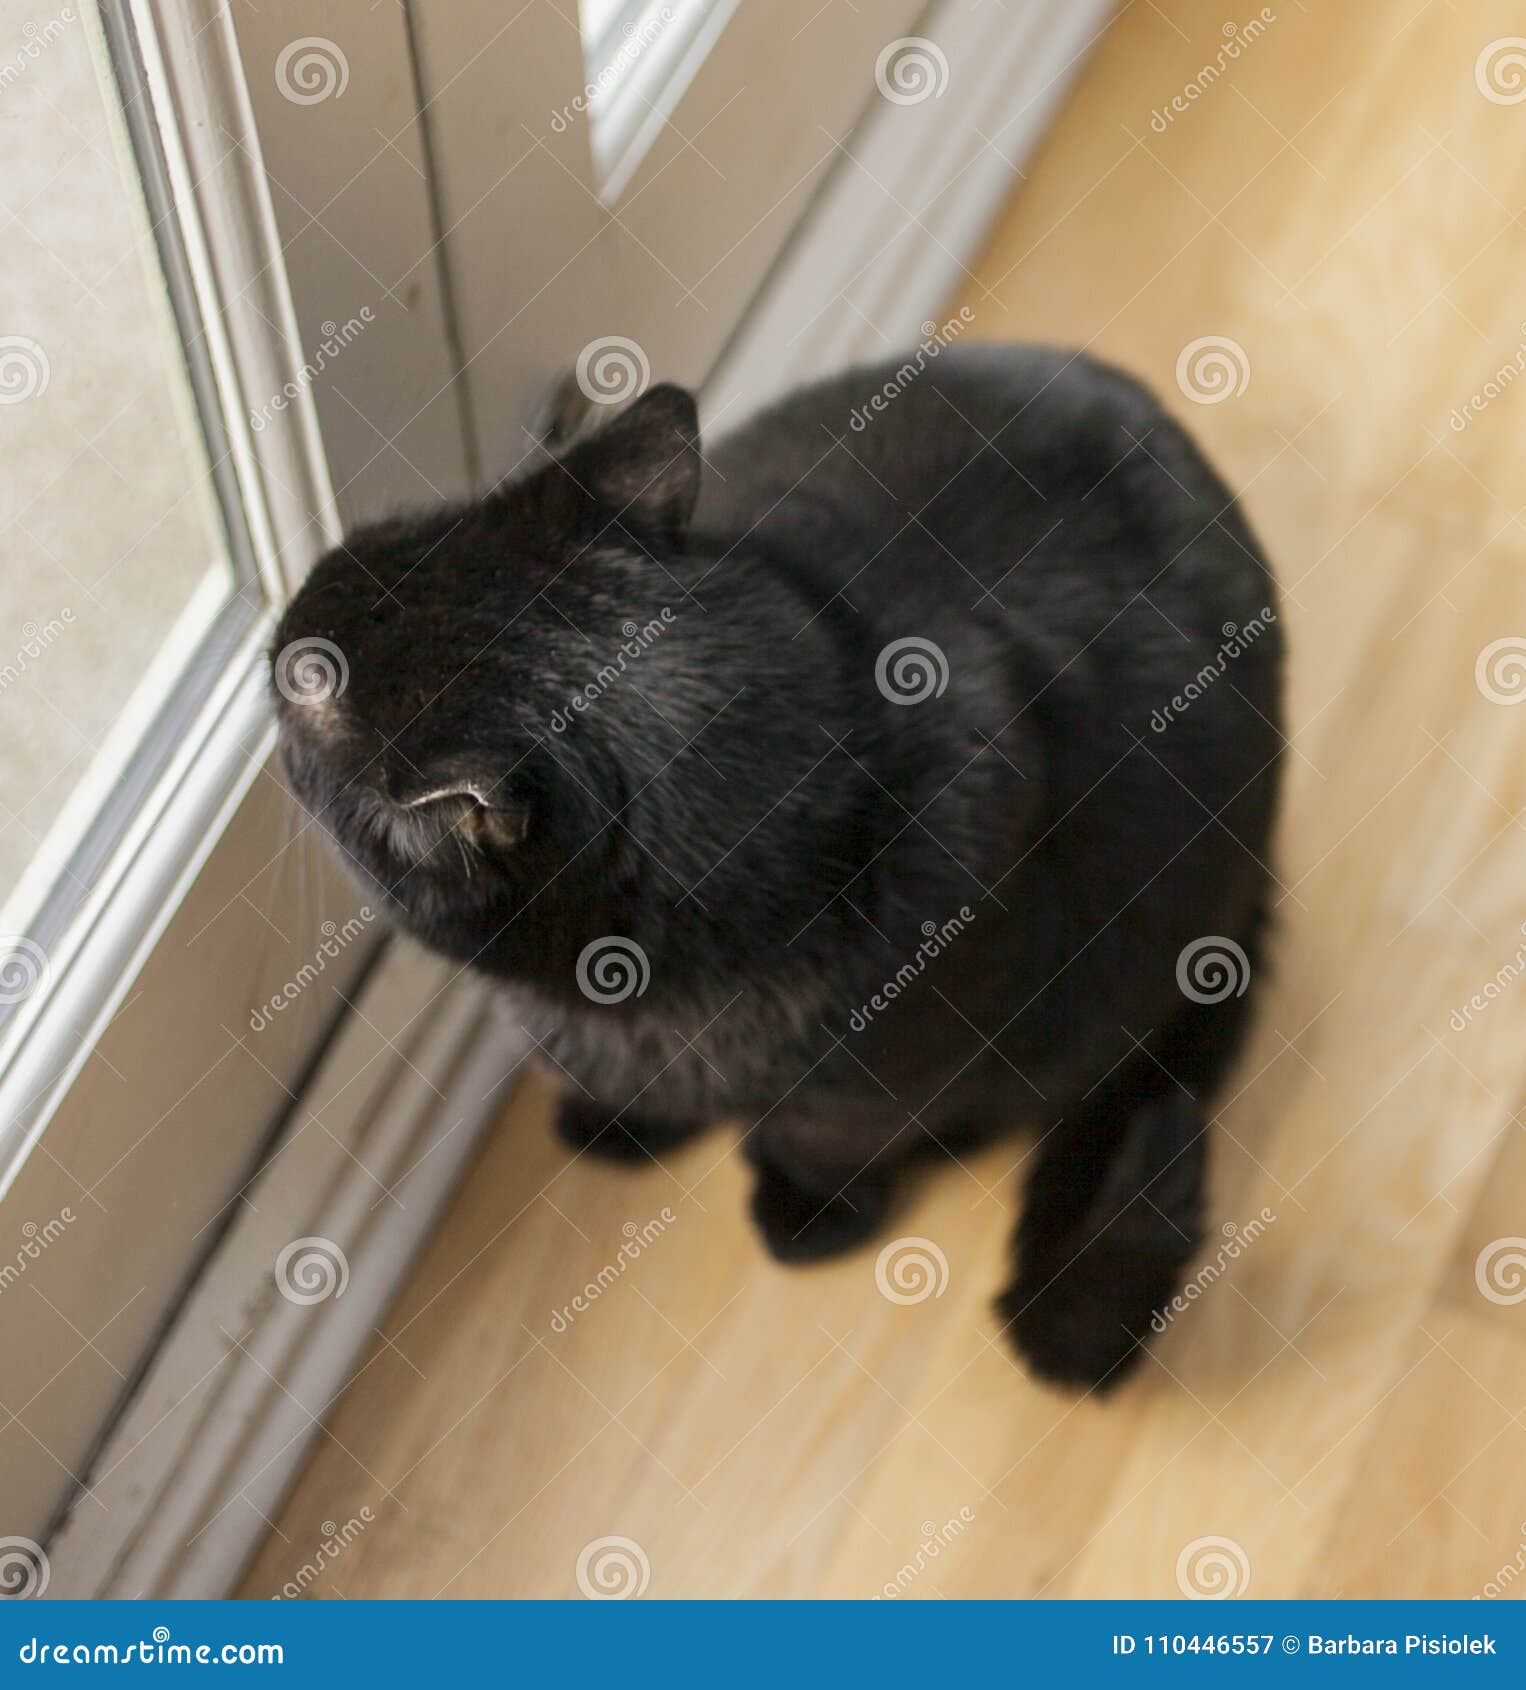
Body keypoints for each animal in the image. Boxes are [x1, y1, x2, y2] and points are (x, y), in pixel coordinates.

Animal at [272, 343, 1277, 1385]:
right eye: (378, 536)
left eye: (305, 679)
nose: (284, 619)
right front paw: (624, 1118)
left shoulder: (892, 1056)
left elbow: (827, 1132)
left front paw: (807, 1210)